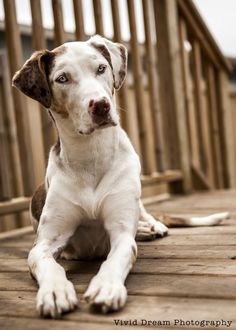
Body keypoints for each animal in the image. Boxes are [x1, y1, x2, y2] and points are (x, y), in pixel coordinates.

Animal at [12, 35, 229, 318]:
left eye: (101, 68)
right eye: (62, 78)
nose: (101, 105)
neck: (91, 155)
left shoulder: (122, 235)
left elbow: (114, 259)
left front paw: (106, 287)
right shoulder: (45, 243)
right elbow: (50, 265)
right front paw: (55, 291)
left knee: (146, 216)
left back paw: (151, 227)